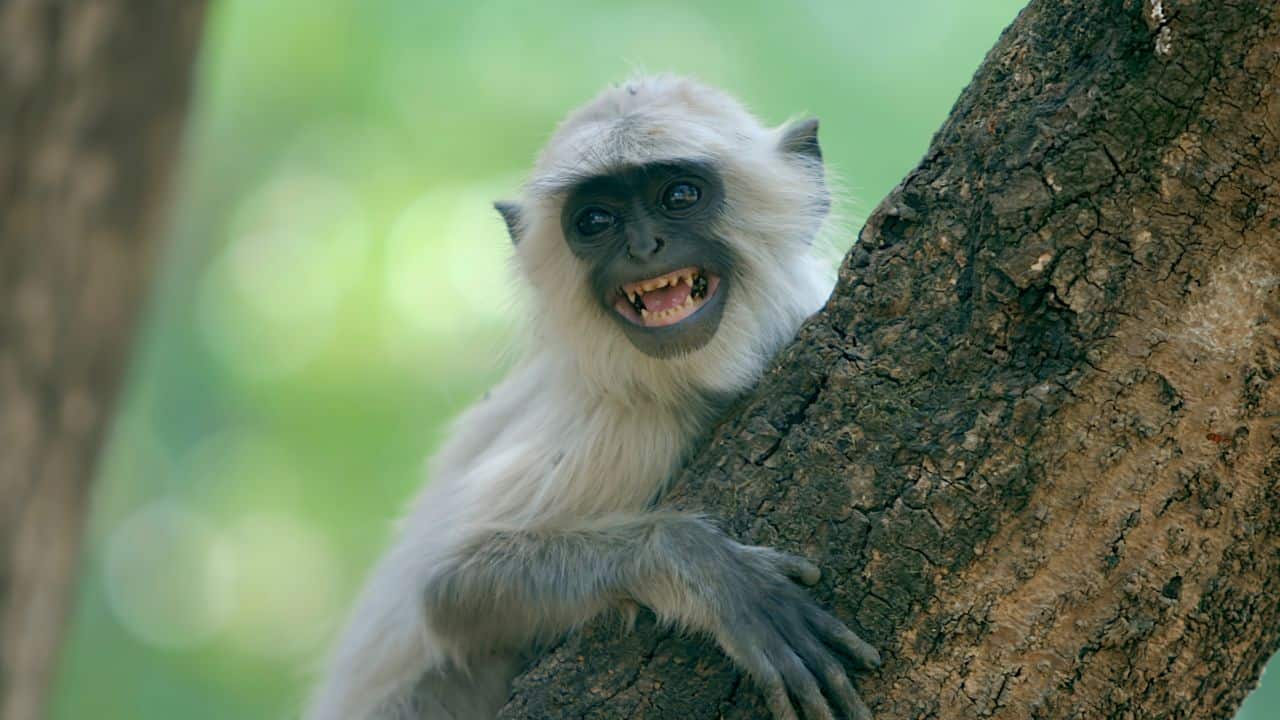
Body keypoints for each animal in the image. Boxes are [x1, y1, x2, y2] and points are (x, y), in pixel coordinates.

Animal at [305, 74, 880, 720]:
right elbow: (447, 591)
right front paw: (707, 571)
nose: (644, 246)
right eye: (596, 220)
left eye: (680, 195)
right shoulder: (632, 424)